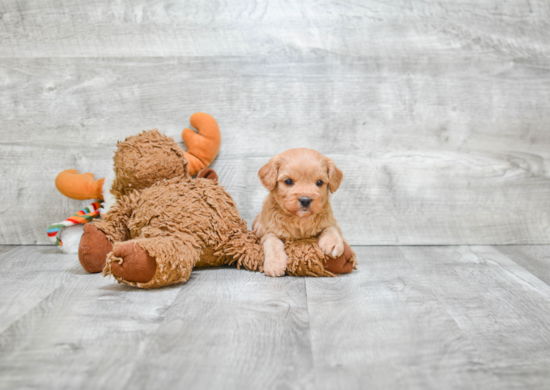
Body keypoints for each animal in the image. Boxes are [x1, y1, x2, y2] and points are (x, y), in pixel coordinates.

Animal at [253, 147, 344, 278]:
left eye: (319, 182)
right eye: (288, 181)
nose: (305, 200)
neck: (300, 219)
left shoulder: (331, 220)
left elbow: (331, 227)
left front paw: (333, 243)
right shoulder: (267, 230)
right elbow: (272, 242)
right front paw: (275, 264)